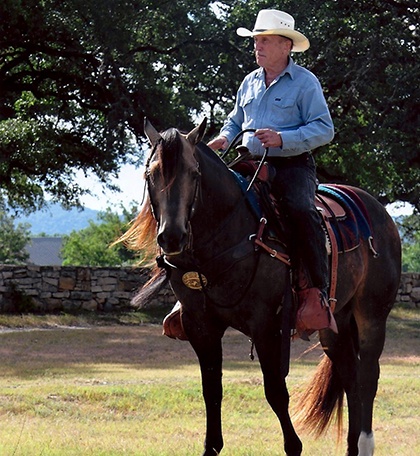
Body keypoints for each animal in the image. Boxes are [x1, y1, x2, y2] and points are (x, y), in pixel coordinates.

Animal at [125, 118, 404, 456]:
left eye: (194, 174)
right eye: (150, 175)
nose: (172, 237)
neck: (229, 233)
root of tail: (381, 214)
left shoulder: (267, 326)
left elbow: (275, 391)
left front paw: (294, 446)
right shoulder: (200, 326)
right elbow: (211, 390)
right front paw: (211, 446)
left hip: (372, 315)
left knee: (367, 377)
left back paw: (364, 443)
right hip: (335, 322)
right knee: (349, 375)